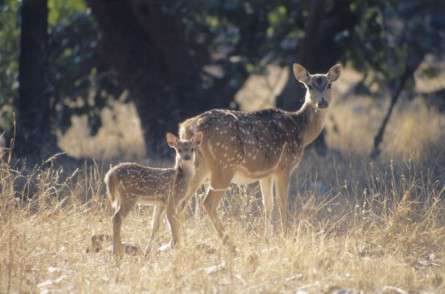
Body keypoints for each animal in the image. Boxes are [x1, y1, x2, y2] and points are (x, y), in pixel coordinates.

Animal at [179, 63, 342, 249]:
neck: (300, 130)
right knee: (208, 202)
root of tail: (187, 127)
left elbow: (267, 205)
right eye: (309, 86)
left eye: (329, 85)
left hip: (198, 167)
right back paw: (229, 243)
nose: (322, 102)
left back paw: (182, 241)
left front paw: (267, 239)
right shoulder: (284, 166)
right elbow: (282, 202)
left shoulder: (266, 174)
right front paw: (285, 236)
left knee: (181, 201)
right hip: (224, 164)